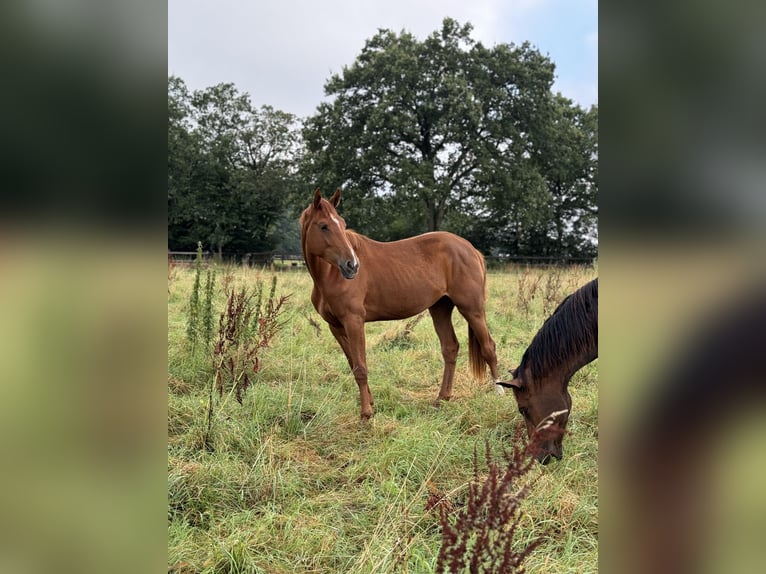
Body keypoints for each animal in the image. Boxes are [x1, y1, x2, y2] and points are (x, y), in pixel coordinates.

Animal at [300, 191, 504, 420]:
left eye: (343, 224)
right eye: (323, 226)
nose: (352, 265)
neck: (330, 275)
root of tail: (471, 250)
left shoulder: (354, 321)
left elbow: (361, 367)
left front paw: (365, 414)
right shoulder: (336, 326)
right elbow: (354, 365)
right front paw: (370, 403)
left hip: (472, 309)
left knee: (489, 347)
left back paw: (499, 392)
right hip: (440, 308)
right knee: (450, 348)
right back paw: (442, 399)